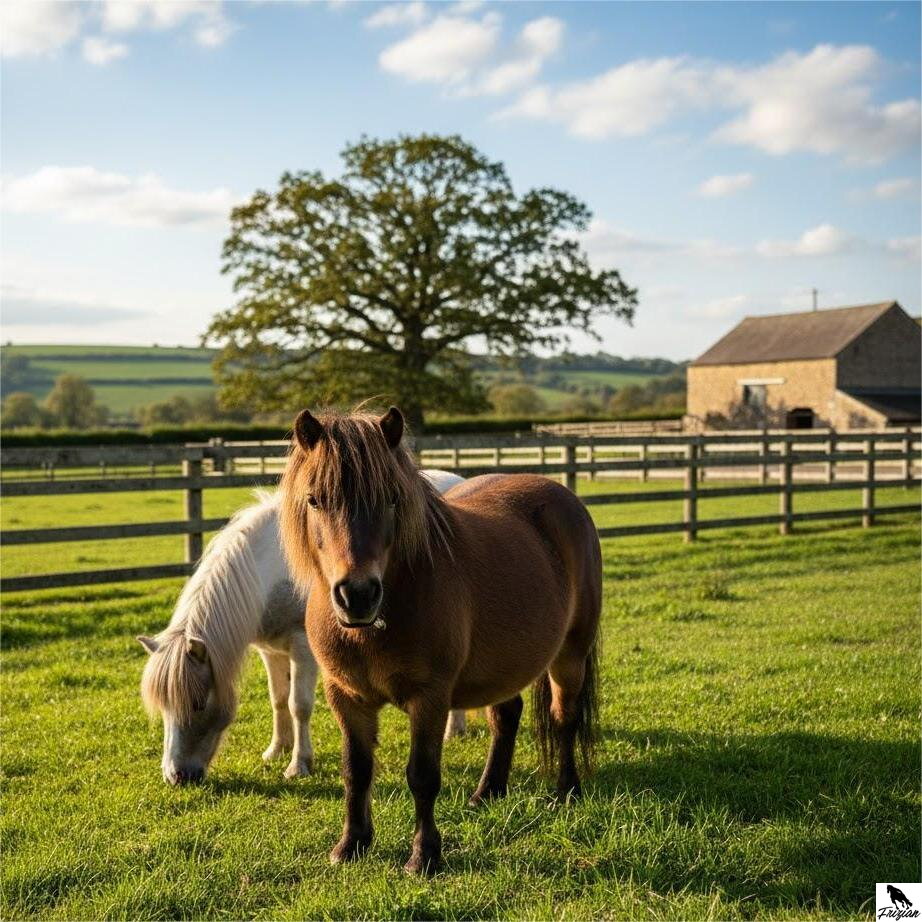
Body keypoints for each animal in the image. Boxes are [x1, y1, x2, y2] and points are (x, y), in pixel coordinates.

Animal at [139, 472, 466, 786]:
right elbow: (278, 698)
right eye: (165, 707)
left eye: (196, 704)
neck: (271, 571)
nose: (176, 776)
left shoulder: (303, 647)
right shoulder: (270, 650)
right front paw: (276, 750)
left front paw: (299, 765)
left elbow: (300, 704)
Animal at [279, 407, 602, 874]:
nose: (358, 594)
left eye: (391, 499)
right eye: (315, 499)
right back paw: (487, 792)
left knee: (565, 719)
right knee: (506, 716)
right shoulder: (346, 697)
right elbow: (356, 770)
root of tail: (564, 497)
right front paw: (351, 844)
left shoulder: (429, 698)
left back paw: (566, 791)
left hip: (570, 655)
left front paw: (424, 855)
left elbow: (422, 775)